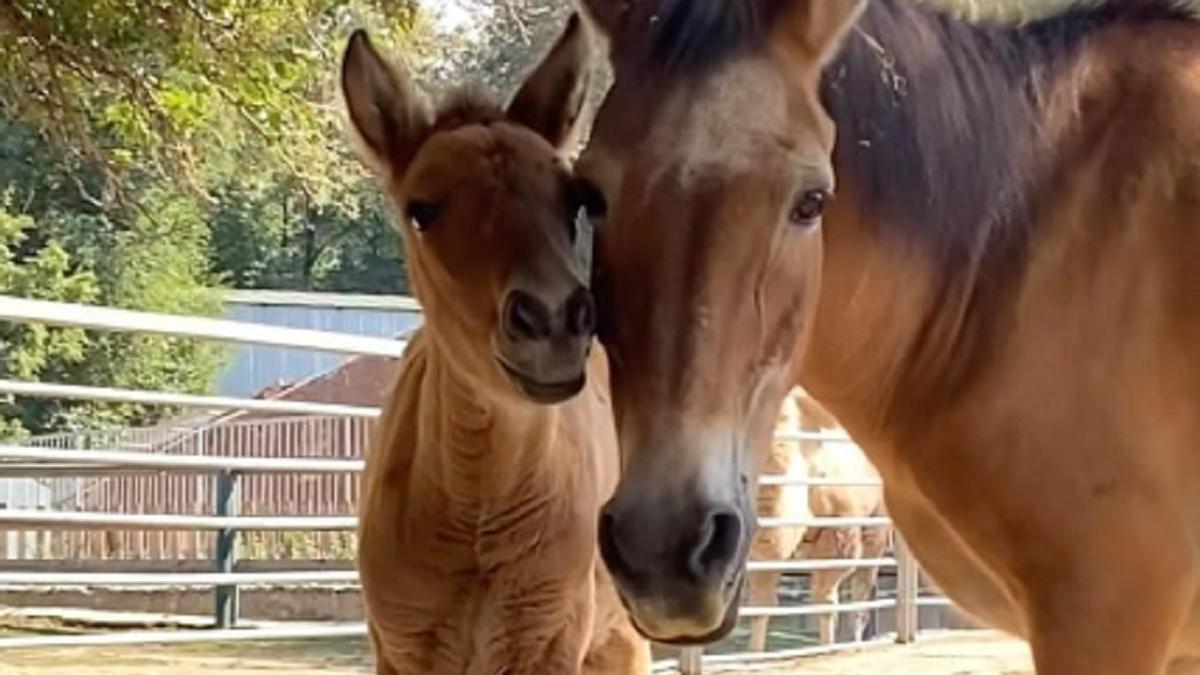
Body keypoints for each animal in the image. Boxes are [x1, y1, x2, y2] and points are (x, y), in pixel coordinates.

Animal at [748, 386, 892, 648]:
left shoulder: (840, 526)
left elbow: (825, 600)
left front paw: (827, 647)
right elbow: (760, 604)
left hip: (878, 523)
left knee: (862, 587)